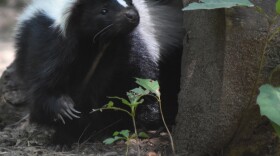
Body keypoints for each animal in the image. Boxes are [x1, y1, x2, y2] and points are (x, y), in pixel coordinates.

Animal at [14, 0, 183, 144]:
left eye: (128, 2)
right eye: (103, 10)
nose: (132, 15)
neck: (95, 44)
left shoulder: (127, 49)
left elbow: (140, 81)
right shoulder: (49, 45)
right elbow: (43, 84)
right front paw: (64, 110)